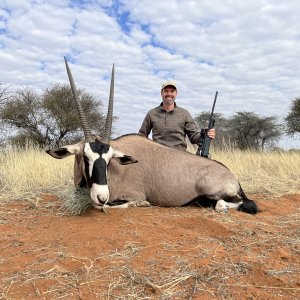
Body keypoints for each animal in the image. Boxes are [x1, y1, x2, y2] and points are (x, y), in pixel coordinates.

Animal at [46, 58, 258, 213]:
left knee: (235, 203)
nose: (101, 196)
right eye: (85, 157)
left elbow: (113, 205)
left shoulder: (129, 195)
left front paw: (141, 204)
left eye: (108, 160)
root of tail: (232, 176)